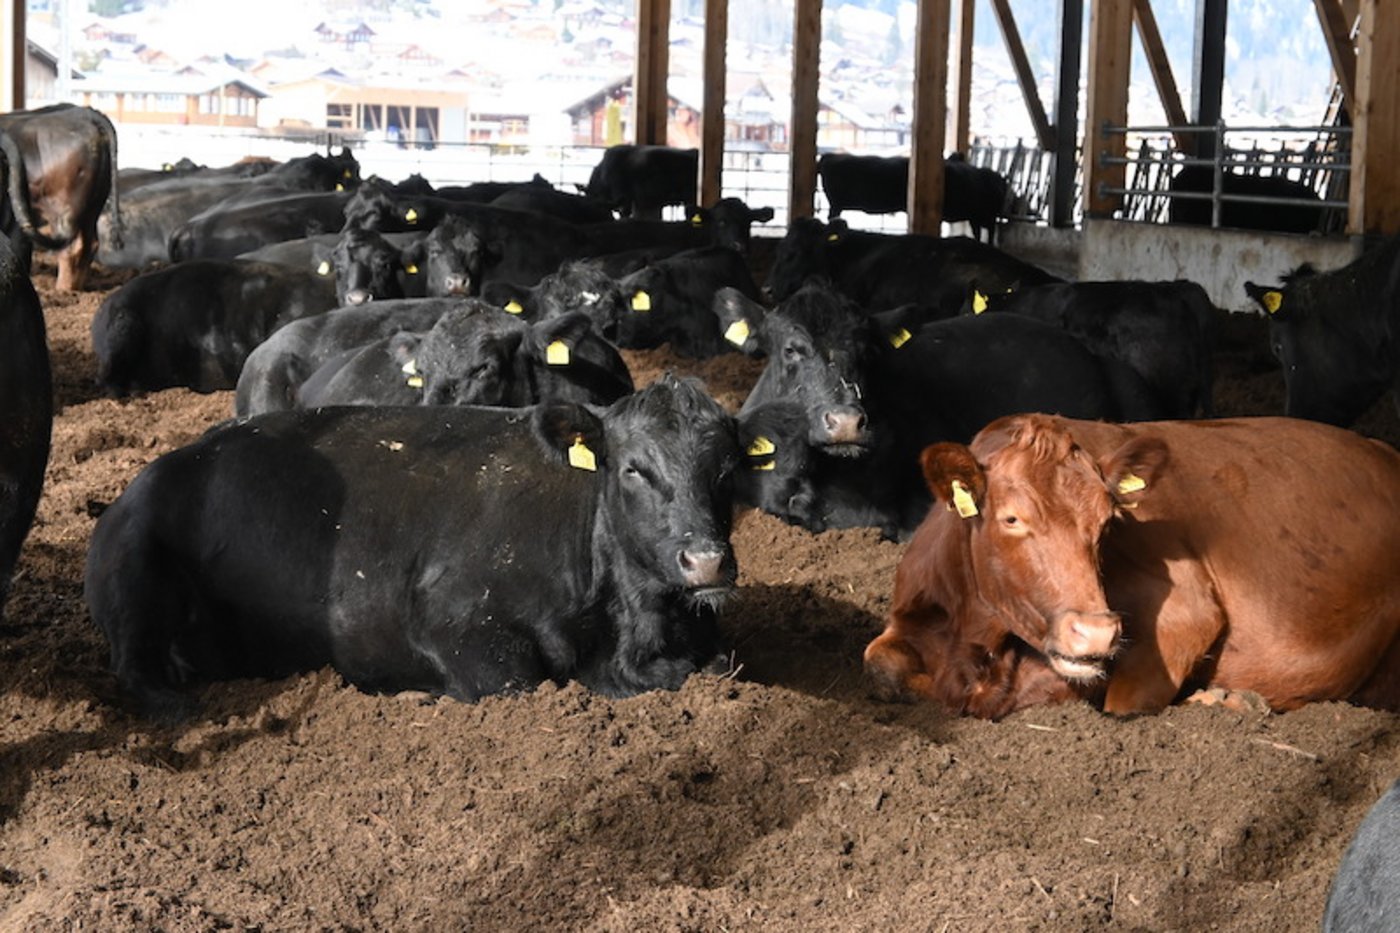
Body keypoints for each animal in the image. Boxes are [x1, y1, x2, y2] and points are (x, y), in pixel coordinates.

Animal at [0, 103, 121, 291]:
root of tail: (84, 113)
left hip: (63, 210)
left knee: (71, 248)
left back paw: (62, 290)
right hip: (93, 206)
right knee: (89, 245)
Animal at [85, 376, 740, 719]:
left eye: (727, 468)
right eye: (633, 469)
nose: (706, 560)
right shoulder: (454, 623)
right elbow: (516, 684)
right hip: (134, 572)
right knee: (136, 670)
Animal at [864, 413, 1400, 718]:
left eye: (1106, 523)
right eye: (1011, 518)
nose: (1096, 633)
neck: (973, 638)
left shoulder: (1187, 612)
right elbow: (878, 663)